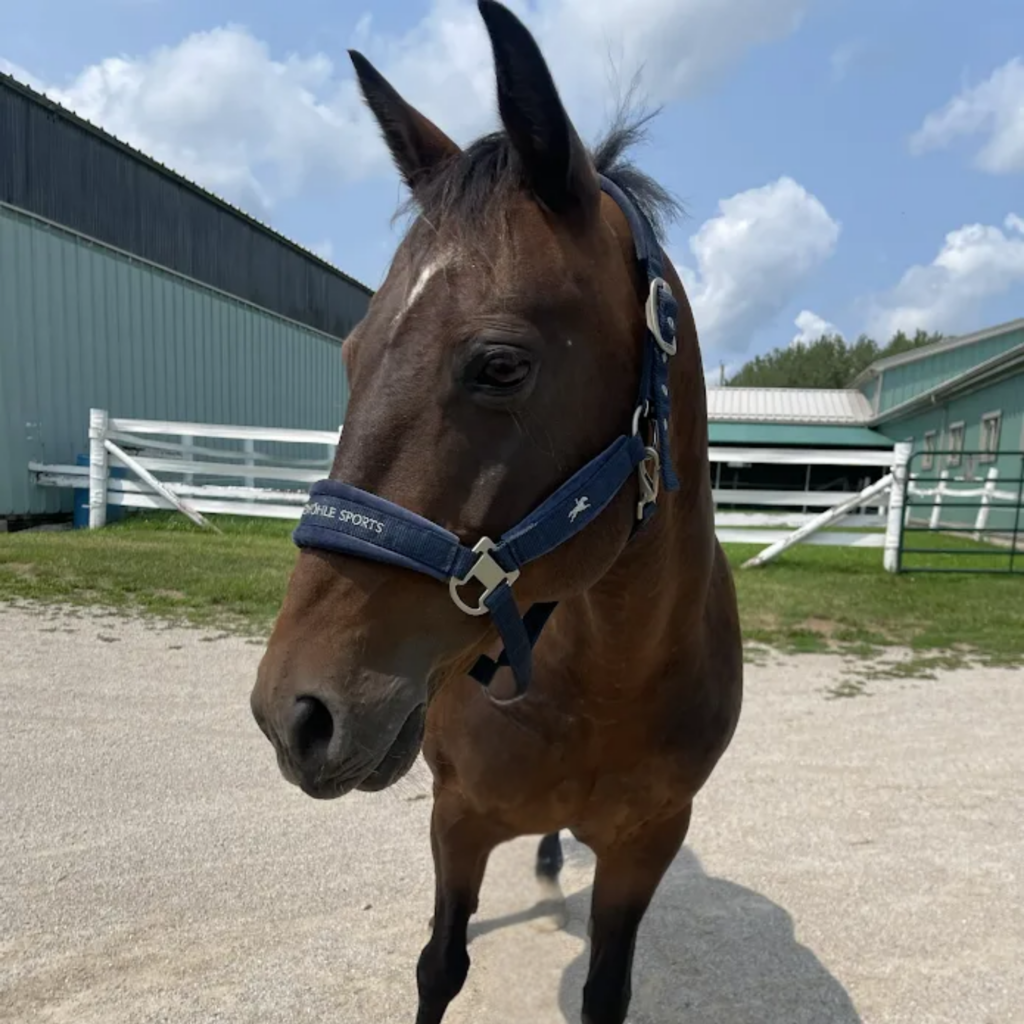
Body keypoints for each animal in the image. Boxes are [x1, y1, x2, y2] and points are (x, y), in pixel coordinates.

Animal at [248, 3, 744, 1022]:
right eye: (351, 354)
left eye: (501, 365)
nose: (296, 713)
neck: (605, 681)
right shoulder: (459, 820)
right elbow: (440, 966)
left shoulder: (648, 843)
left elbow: (605, 991)